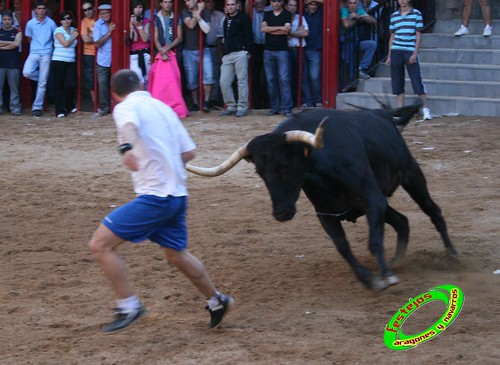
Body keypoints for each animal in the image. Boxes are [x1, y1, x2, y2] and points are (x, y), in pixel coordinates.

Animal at [187, 105, 458, 290]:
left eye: (285, 165)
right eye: (259, 172)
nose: (281, 213)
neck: (321, 166)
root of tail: (384, 115)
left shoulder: (373, 200)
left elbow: (373, 242)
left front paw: (386, 276)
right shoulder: (327, 214)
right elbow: (343, 248)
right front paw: (370, 279)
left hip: (412, 176)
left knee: (433, 211)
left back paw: (452, 256)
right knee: (402, 221)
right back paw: (398, 259)